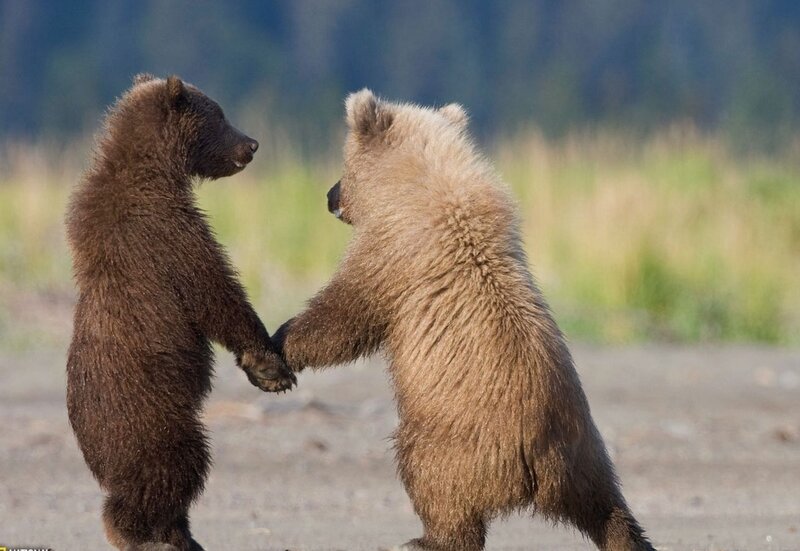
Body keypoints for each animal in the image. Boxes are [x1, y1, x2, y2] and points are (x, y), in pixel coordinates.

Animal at [65, 74, 296, 551]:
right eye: (220, 115)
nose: (252, 144)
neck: (155, 169)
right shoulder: (164, 229)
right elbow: (212, 290)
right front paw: (268, 365)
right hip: (153, 418)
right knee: (175, 467)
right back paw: (149, 534)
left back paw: (180, 534)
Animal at [273, 90, 655, 551]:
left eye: (343, 166)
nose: (329, 195)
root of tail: (541, 464)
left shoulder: (395, 254)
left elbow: (346, 314)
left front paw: (280, 342)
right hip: (587, 453)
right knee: (607, 508)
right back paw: (631, 539)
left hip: (455, 440)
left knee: (432, 482)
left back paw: (425, 540)